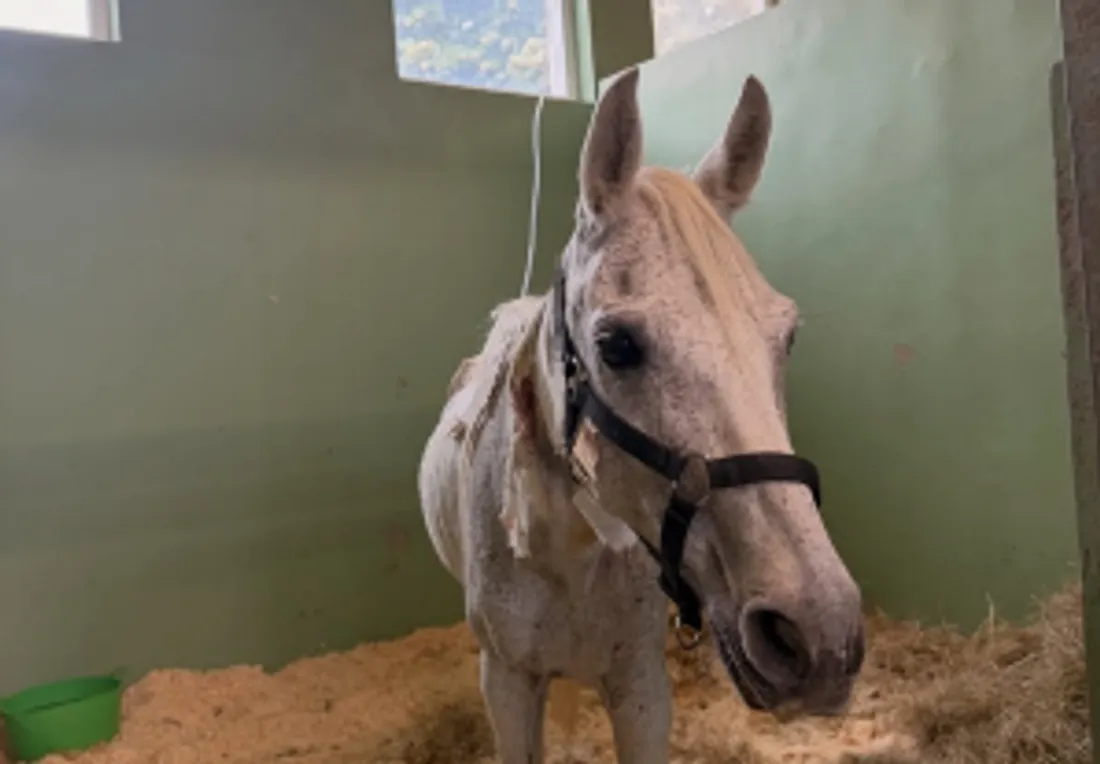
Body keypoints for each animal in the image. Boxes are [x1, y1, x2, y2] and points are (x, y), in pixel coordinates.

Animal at [416, 65, 865, 764]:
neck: (567, 554)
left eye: (787, 336)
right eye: (617, 346)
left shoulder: (639, 683)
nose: (820, 636)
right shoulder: (508, 682)